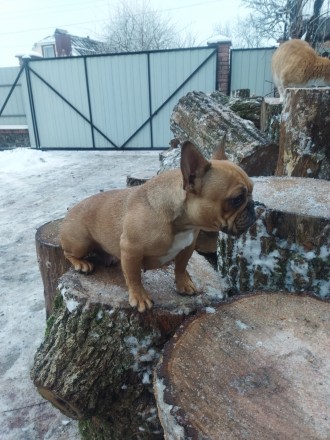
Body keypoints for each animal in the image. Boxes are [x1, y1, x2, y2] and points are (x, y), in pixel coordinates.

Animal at [60, 143, 255, 312]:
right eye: (237, 199)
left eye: (252, 189)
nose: (254, 206)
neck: (181, 223)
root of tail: (70, 212)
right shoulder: (131, 250)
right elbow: (134, 277)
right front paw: (139, 297)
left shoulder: (188, 246)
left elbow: (181, 267)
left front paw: (184, 284)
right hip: (80, 242)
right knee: (68, 253)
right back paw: (81, 263)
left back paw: (109, 257)